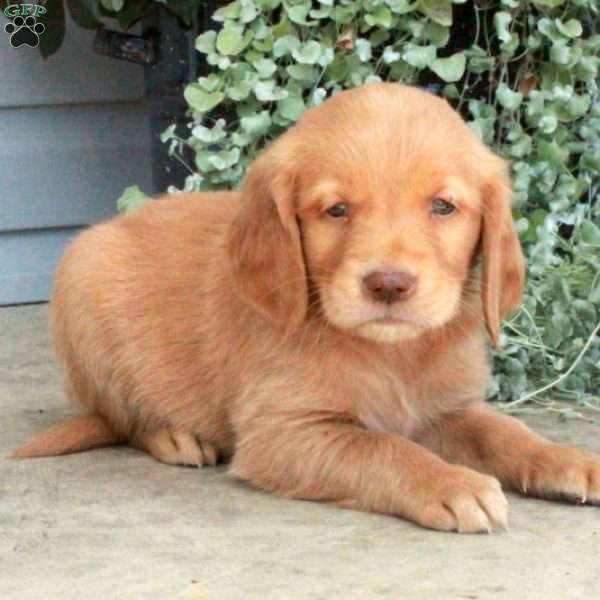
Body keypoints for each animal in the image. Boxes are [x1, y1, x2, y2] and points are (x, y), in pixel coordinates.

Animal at [12, 82, 600, 532]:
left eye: (443, 207)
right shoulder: (283, 430)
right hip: (81, 289)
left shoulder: (446, 408)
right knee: (120, 417)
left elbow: (505, 432)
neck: (392, 354)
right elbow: (381, 449)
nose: (388, 284)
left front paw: (567, 459)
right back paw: (176, 434)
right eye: (335, 210)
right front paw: (451, 481)